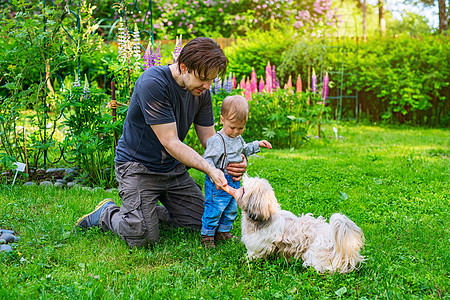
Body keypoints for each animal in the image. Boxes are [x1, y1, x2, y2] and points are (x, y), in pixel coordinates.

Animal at [227, 176, 364, 274]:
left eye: (244, 190)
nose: (237, 188)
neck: (266, 216)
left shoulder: (259, 244)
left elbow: (254, 254)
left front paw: (246, 260)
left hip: (315, 253)